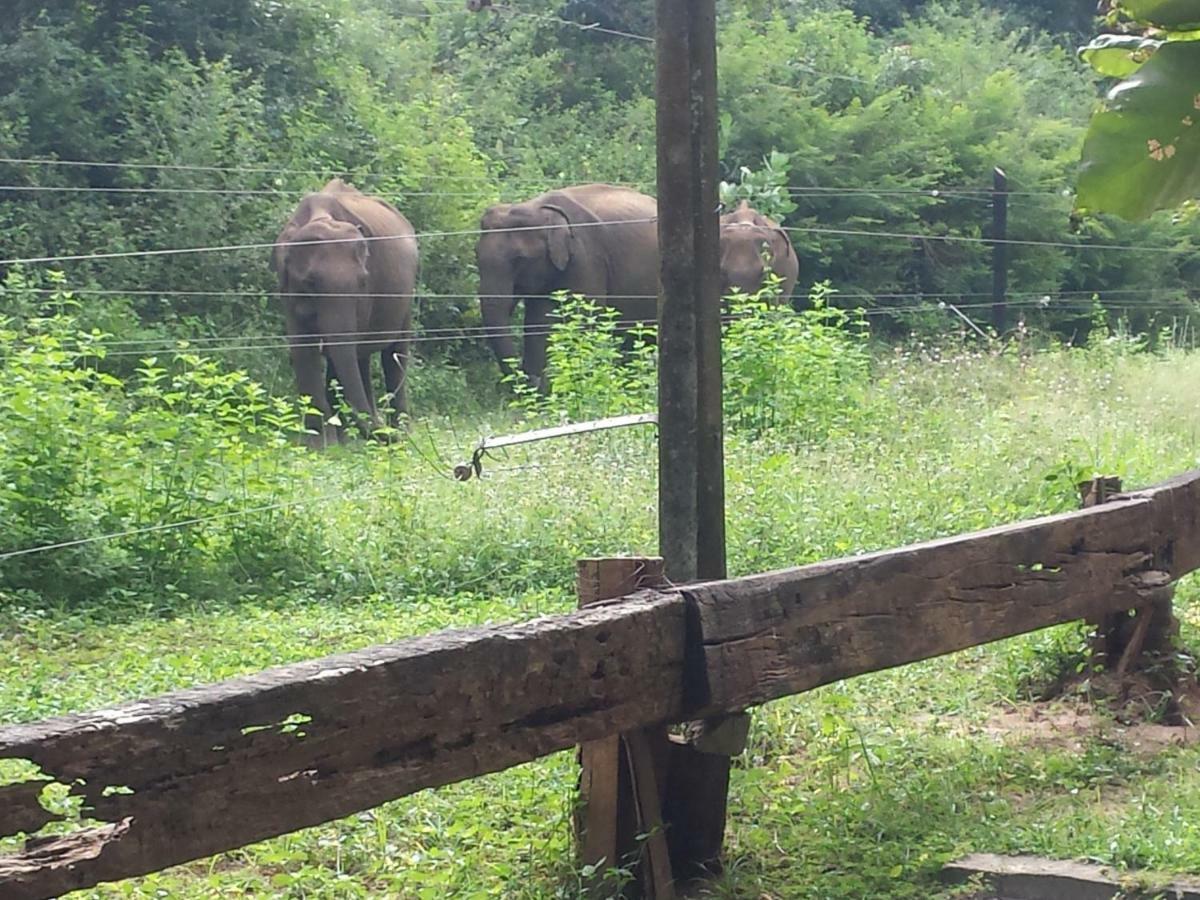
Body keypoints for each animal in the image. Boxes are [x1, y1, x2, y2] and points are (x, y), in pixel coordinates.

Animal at [274, 178, 420, 448]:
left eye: (362, 281)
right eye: (310, 283)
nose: (386, 437)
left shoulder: (368, 292)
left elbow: (339, 350)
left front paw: (339, 441)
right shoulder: (286, 290)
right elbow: (303, 350)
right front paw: (321, 445)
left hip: (407, 294)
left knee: (393, 353)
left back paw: (398, 429)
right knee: (361, 356)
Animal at [477, 183, 662, 384]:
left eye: (520, 259)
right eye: (477, 258)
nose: (527, 377)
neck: (538, 209)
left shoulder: (586, 258)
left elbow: (583, 319)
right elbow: (538, 326)